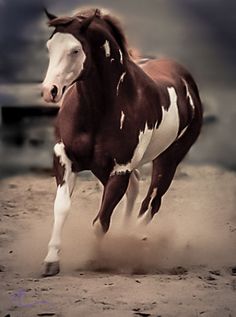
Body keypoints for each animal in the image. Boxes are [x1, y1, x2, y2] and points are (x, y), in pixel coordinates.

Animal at [41, 6, 203, 274]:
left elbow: (101, 221)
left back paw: (133, 242)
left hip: (168, 160)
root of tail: (187, 80)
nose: (49, 91)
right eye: (49, 46)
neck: (100, 109)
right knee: (136, 189)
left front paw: (95, 260)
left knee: (151, 203)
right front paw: (51, 261)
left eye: (75, 50)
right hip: (103, 169)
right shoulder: (65, 158)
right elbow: (61, 207)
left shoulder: (120, 169)